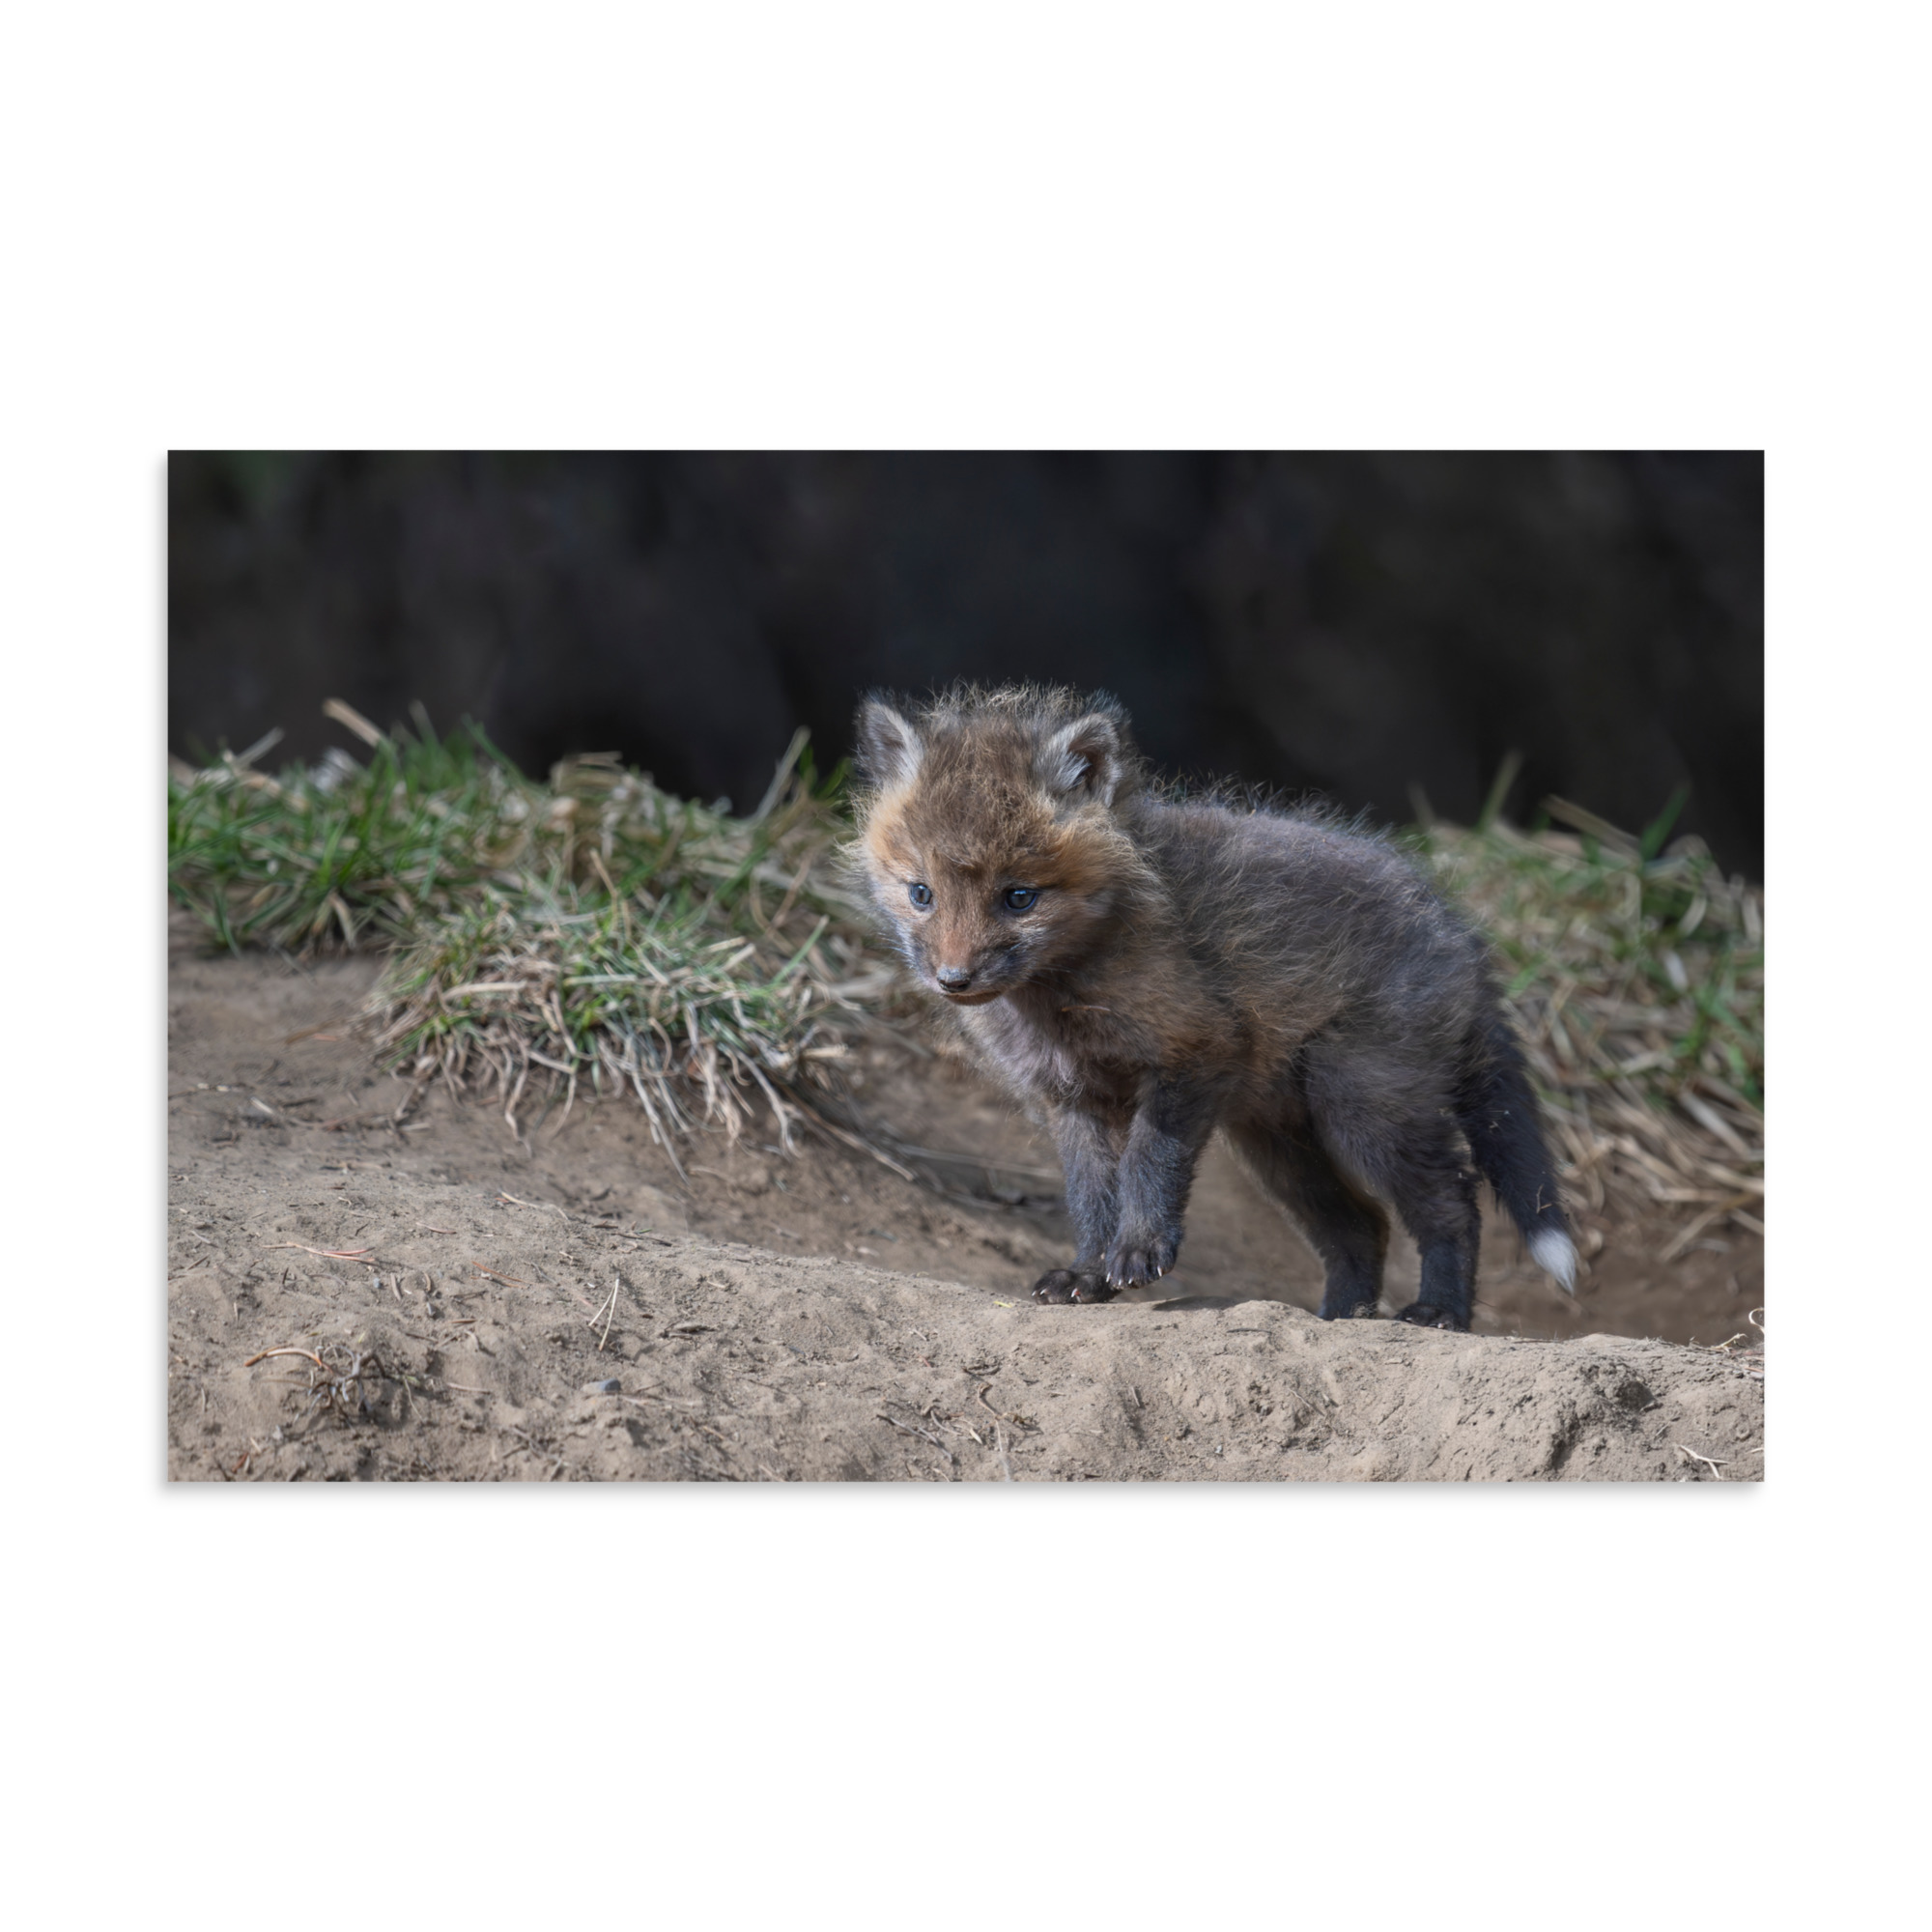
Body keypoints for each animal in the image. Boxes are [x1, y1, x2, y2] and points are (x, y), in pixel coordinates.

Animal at [848, 683, 1578, 1330]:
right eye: (921, 893)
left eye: (1019, 897)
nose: (954, 979)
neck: (1063, 999)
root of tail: (1460, 932)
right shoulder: (1072, 1097)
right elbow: (1090, 1196)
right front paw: (1087, 1273)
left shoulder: (1195, 1051)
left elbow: (1149, 1162)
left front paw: (1139, 1250)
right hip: (1279, 1143)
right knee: (1362, 1226)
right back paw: (1341, 1317)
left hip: (1363, 1107)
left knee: (1453, 1202)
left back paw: (1440, 1312)